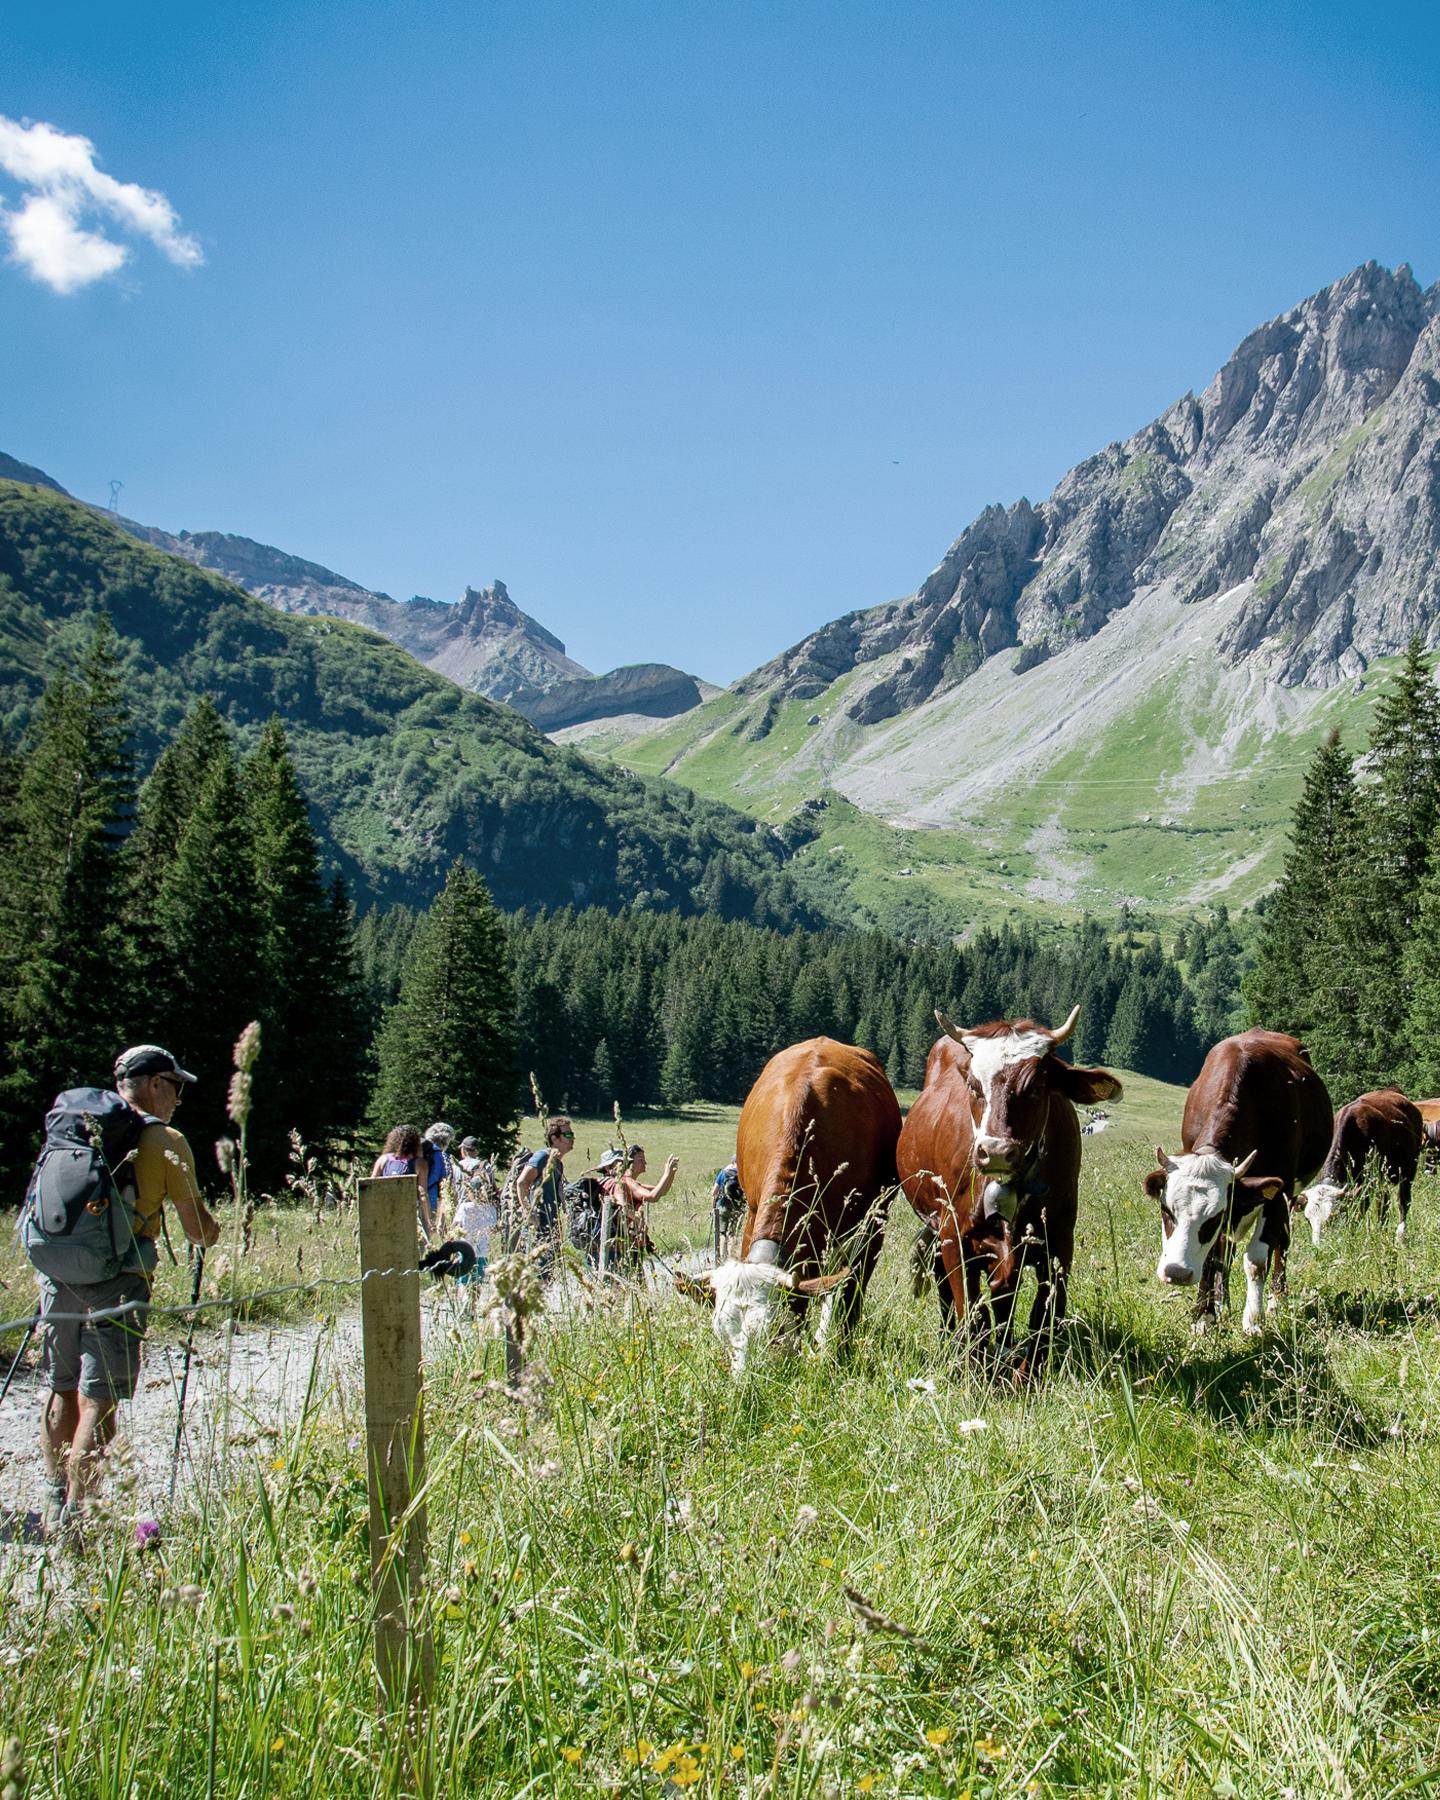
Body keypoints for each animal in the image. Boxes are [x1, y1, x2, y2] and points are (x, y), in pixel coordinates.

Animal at [684, 1036, 900, 1368]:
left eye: (774, 1331)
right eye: (721, 1332)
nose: (745, 1379)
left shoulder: (862, 1225)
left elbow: (845, 1291)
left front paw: (833, 1350)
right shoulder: (753, 1210)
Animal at [900, 1008, 1123, 1368]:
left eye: (1036, 1086)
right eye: (973, 1086)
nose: (995, 1151)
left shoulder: (1059, 1241)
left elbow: (1042, 1319)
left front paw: (1026, 1374)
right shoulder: (954, 1235)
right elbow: (972, 1315)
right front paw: (972, 1372)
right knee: (944, 1280)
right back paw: (950, 1341)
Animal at [1144, 1029, 1332, 1339]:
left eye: (1212, 1218)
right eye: (1166, 1211)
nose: (1177, 1272)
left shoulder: (1275, 1194)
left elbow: (1256, 1261)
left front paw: (1253, 1320)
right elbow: (1212, 1257)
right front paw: (1204, 1316)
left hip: (1288, 1198)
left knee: (1282, 1244)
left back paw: (1277, 1298)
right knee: (1226, 1251)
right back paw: (1223, 1302)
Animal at [1296, 1087, 1425, 1245]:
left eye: (1332, 1217)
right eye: (1307, 1219)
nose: (1318, 1246)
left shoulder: (1370, 1184)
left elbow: (1359, 1213)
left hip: (1407, 1169)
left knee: (1400, 1202)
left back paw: (1399, 1234)